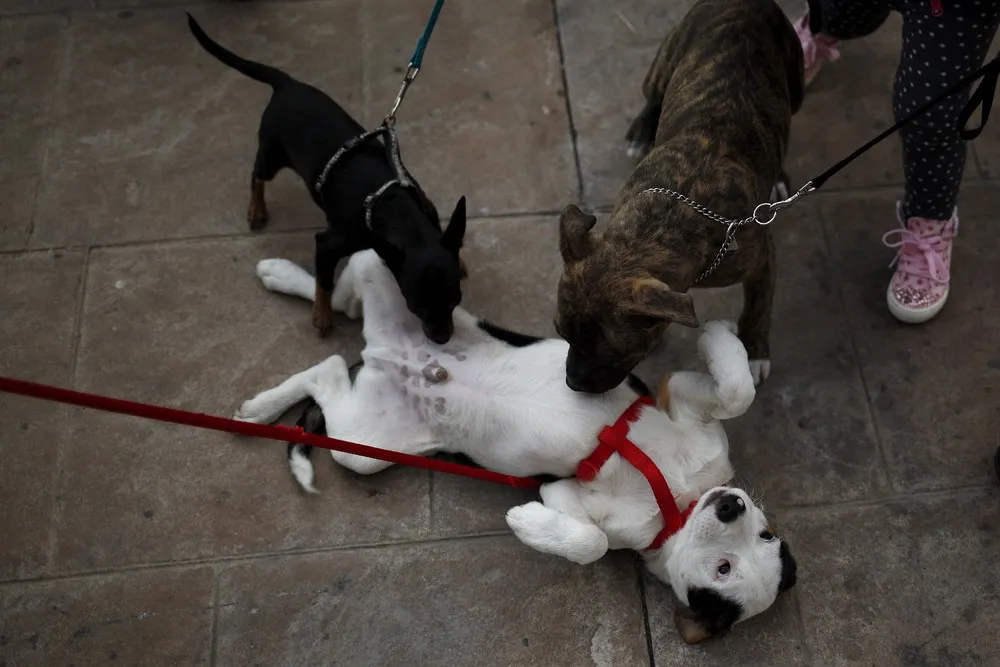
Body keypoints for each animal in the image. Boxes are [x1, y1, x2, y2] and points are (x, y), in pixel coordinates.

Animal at [189, 14, 466, 344]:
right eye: (416, 308)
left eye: (455, 302)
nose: (442, 338)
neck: (393, 207)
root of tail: (288, 84)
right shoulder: (328, 244)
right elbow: (324, 282)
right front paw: (321, 315)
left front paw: (460, 257)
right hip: (272, 154)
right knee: (257, 175)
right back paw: (256, 209)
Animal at [234, 249, 796, 640]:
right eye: (763, 534)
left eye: (726, 570)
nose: (730, 503)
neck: (679, 500)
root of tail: (381, 355)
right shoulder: (678, 399)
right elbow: (736, 392)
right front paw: (723, 336)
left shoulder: (569, 497)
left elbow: (590, 542)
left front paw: (527, 524)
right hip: (396, 274)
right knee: (341, 298)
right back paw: (278, 282)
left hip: (361, 444)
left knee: (326, 370)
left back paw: (259, 408)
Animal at [556, 0, 804, 396]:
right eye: (562, 334)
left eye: (611, 351)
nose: (571, 382)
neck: (666, 220)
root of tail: (746, 2)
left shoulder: (762, 261)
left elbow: (758, 308)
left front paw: (754, 353)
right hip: (663, 64)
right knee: (653, 94)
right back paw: (641, 130)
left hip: (794, 87)